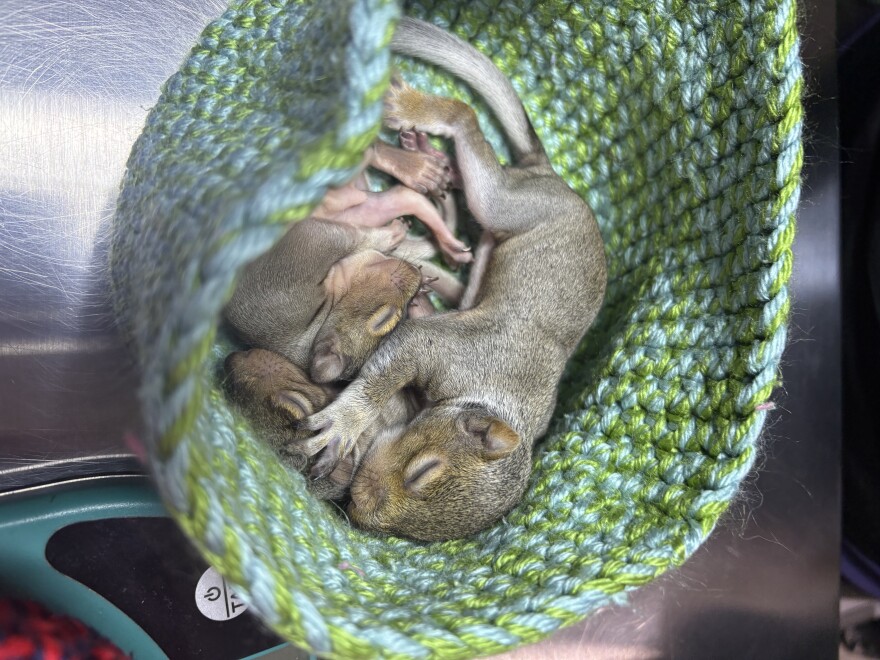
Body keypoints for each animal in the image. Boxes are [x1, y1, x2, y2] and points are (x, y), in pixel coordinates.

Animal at [299, 18, 607, 542]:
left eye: (423, 535)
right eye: (425, 470)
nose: (358, 508)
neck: (492, 399)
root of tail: (552, 176)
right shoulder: (443, 348)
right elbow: (385, 372)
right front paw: (344, 421)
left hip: (484, 254)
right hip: (511, 203)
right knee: (468, 125)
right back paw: (417, 115)